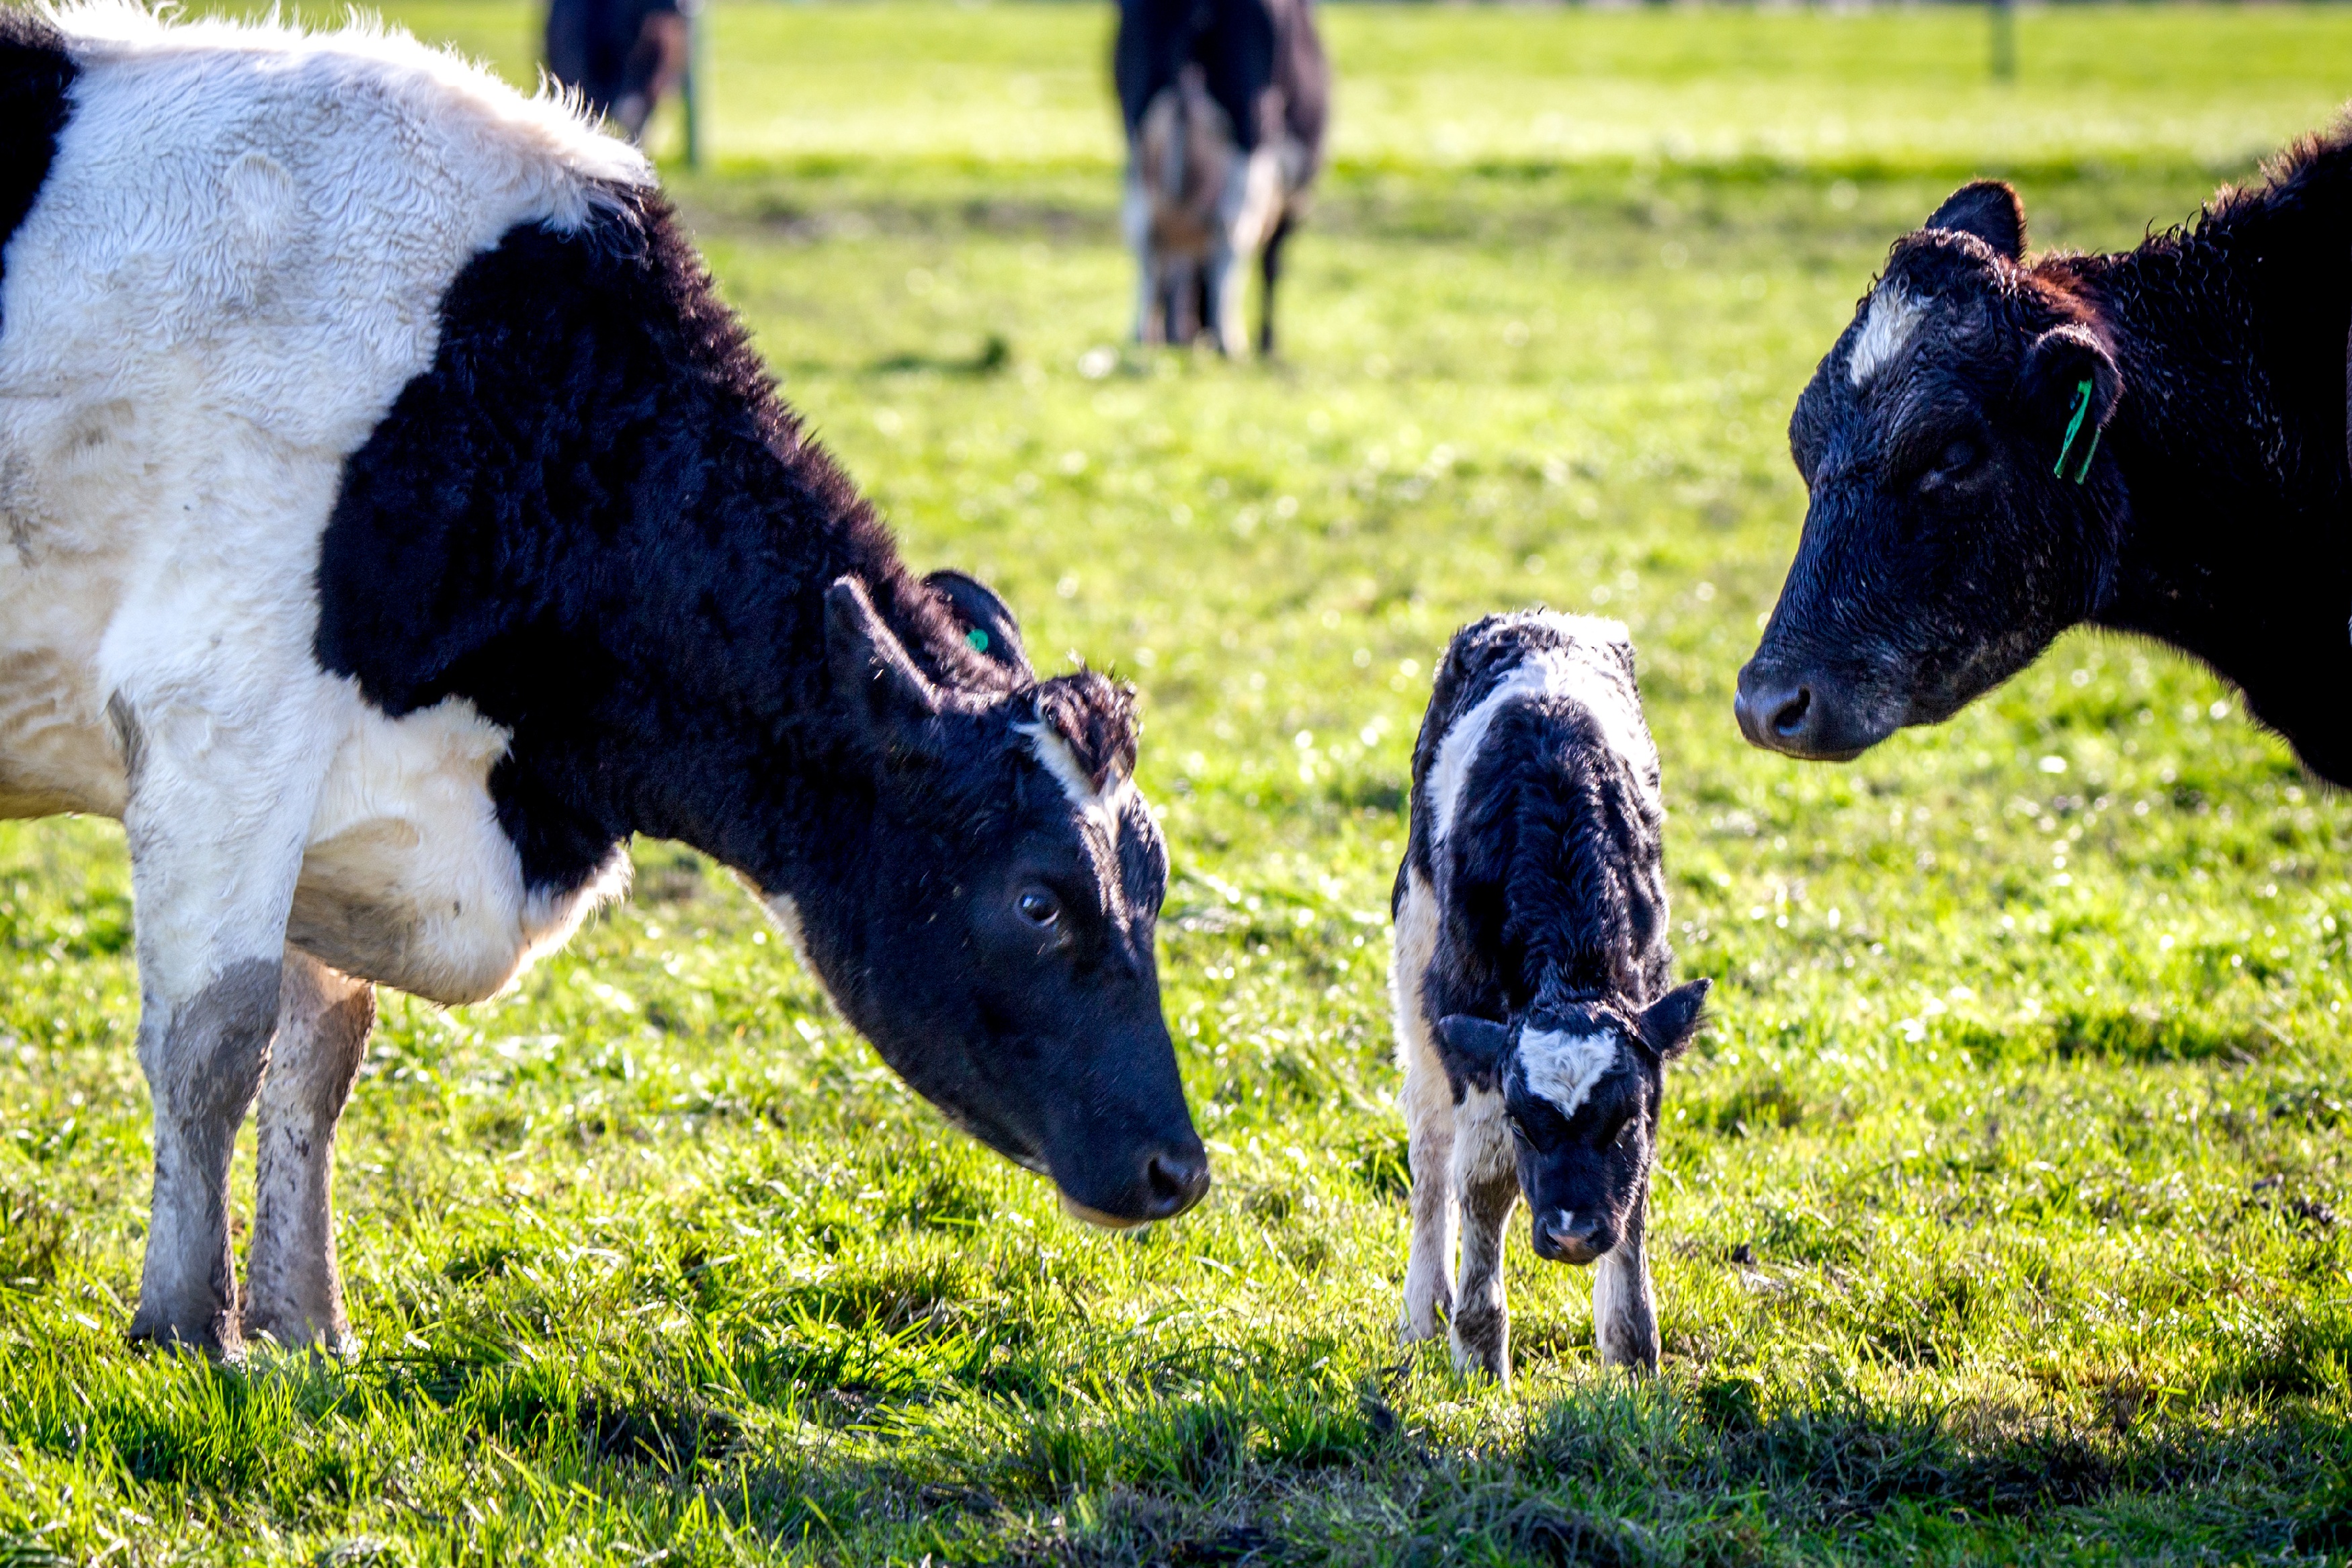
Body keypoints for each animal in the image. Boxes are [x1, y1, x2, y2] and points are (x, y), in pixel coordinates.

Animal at [0, 6, 1214, 1363]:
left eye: (1154, 884)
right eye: (1037, 899)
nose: (1180, 1168)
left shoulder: (347, 797)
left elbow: (319, 1056)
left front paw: (310, 1325)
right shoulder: (222, 718)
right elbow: (216, 1043)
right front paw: (184, 1327)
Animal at [1115, 0, 1327, 355]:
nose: (1193, 334)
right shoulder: (1294, 196)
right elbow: (1271, 263)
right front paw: (1268, 345)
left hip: (1138, 141)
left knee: (1144, 229)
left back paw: (1145, 336)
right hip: (1251, 127)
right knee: (1233, 228)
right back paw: (1230, 341)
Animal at [1392, 611, 1712, 1382]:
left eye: (1623, 1121)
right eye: (1524, 1122)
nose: (1570, 1236)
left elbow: (1635, 1191)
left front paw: (1632, 1357)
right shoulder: (1470, 1026)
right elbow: (1481, 1181)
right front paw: (1479, 1352)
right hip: (1414, 952)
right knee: (1429, 1144)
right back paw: (1424, 1311)